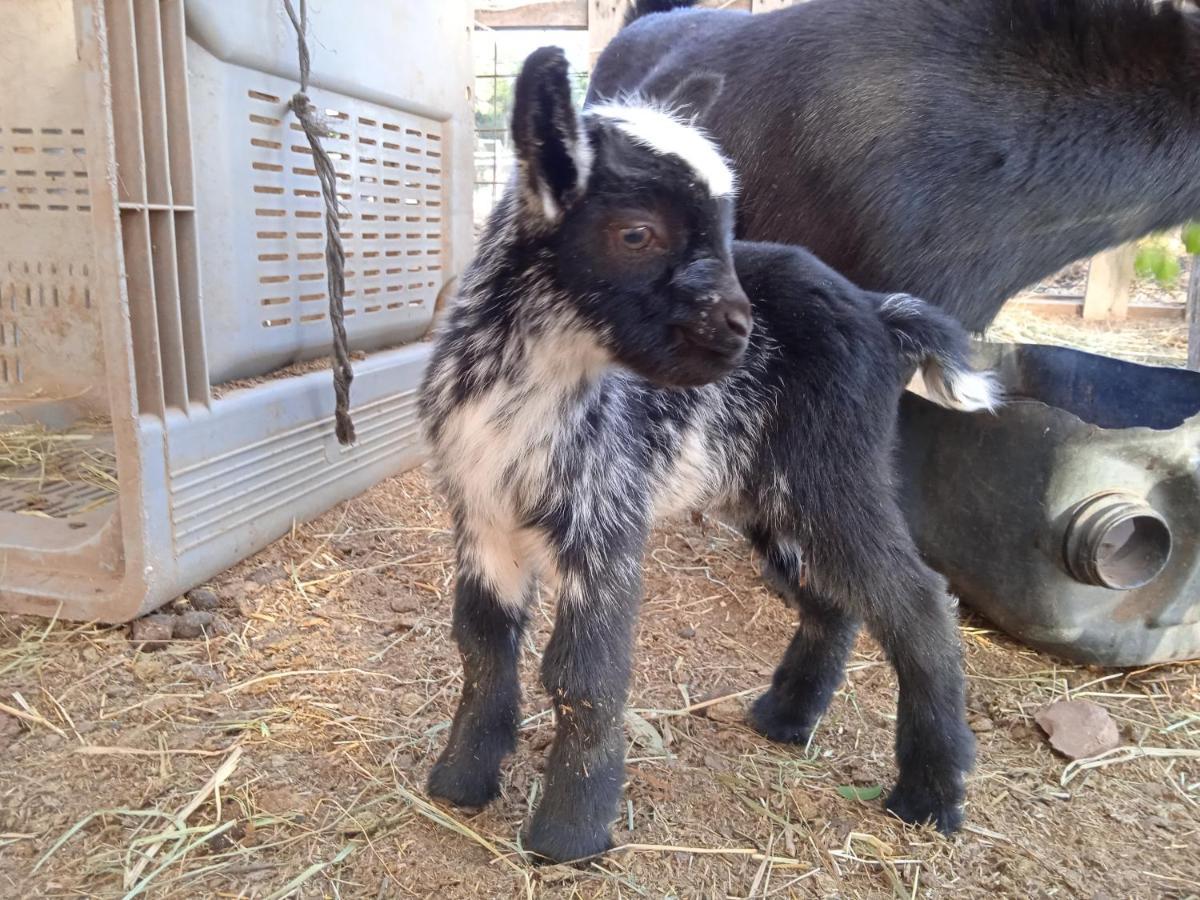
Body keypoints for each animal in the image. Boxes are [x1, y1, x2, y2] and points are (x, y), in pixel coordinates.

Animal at [417, 45, 998, 864]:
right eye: (637, 233)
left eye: (726, 232)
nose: (739, 334)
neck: (528, 385)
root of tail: (880, 314)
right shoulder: (481, 517)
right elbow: (482, 647)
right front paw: (462, 780)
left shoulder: (605, 518)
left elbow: (585, 675)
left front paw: (570, 831)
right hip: (768, 491)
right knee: (831, 598)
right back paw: (786, 718)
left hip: (833, 471)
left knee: (916, 602)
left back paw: (931, 793)